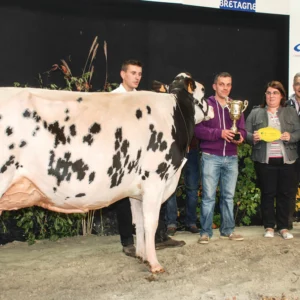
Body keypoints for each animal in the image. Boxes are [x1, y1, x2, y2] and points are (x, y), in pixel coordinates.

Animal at [0, 76, 213, 274]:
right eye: (203, 91)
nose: (212, 108)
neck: (174, 114)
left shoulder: (137, 191)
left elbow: (139, 223)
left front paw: (142, 256)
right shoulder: (155, 180)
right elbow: (150, 223)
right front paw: (155, 264)